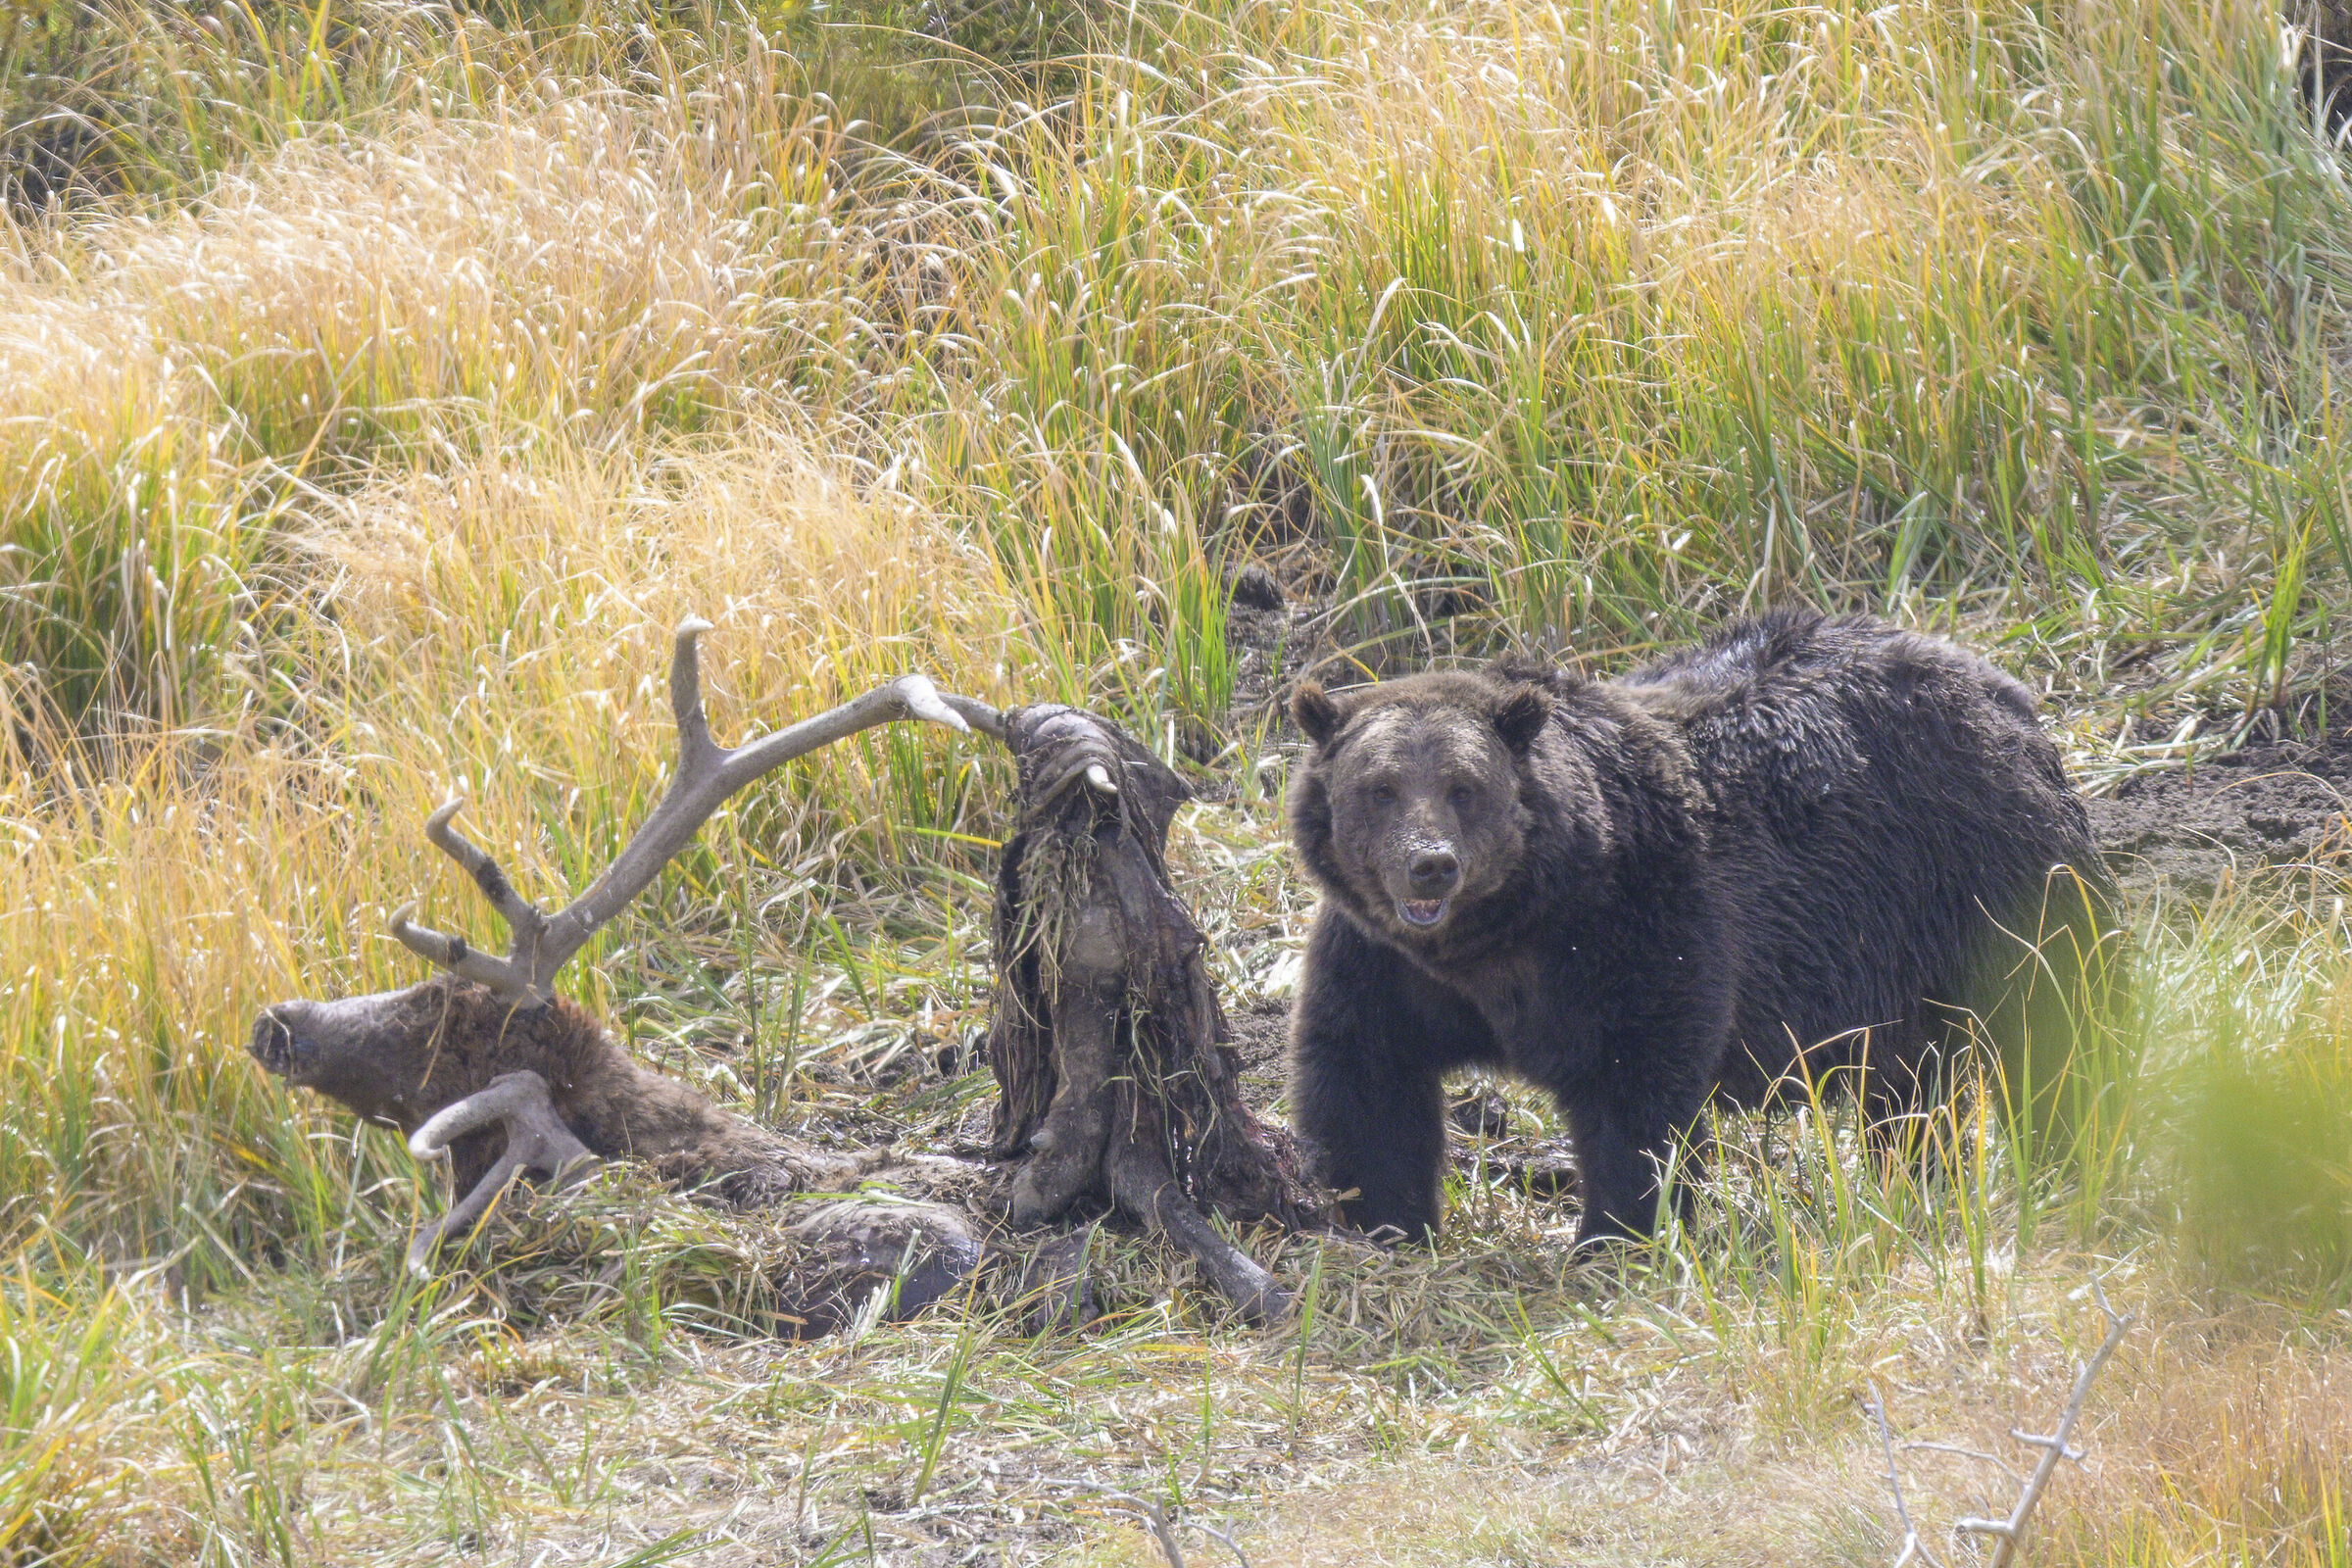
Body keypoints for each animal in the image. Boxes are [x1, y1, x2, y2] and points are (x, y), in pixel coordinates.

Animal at [1284, 608, 2119, 1245]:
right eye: (1381, 788)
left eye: (1464, 787)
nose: (1430, 866)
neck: (1500, 937)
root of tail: (2003, 687)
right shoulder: (1383, 960)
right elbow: (1364, 1074)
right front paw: (1384, 1221)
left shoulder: (1639, 919)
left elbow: (1635, 1088)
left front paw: (1618, 1233)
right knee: (1913, 1080)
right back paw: (1919, 1175)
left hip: (1981, 870)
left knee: (2058, 1016)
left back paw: (2074, 1150)